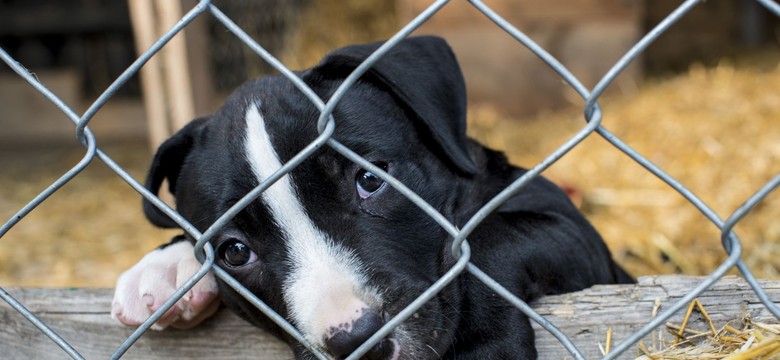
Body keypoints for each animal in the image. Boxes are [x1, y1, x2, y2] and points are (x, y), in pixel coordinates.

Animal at [112, 36, 632, 360]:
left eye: (369, 179)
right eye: (235, 252)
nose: (358, 341)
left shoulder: (578, 237)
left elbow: (489, 241)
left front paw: (483, 347)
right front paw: (166, 266)